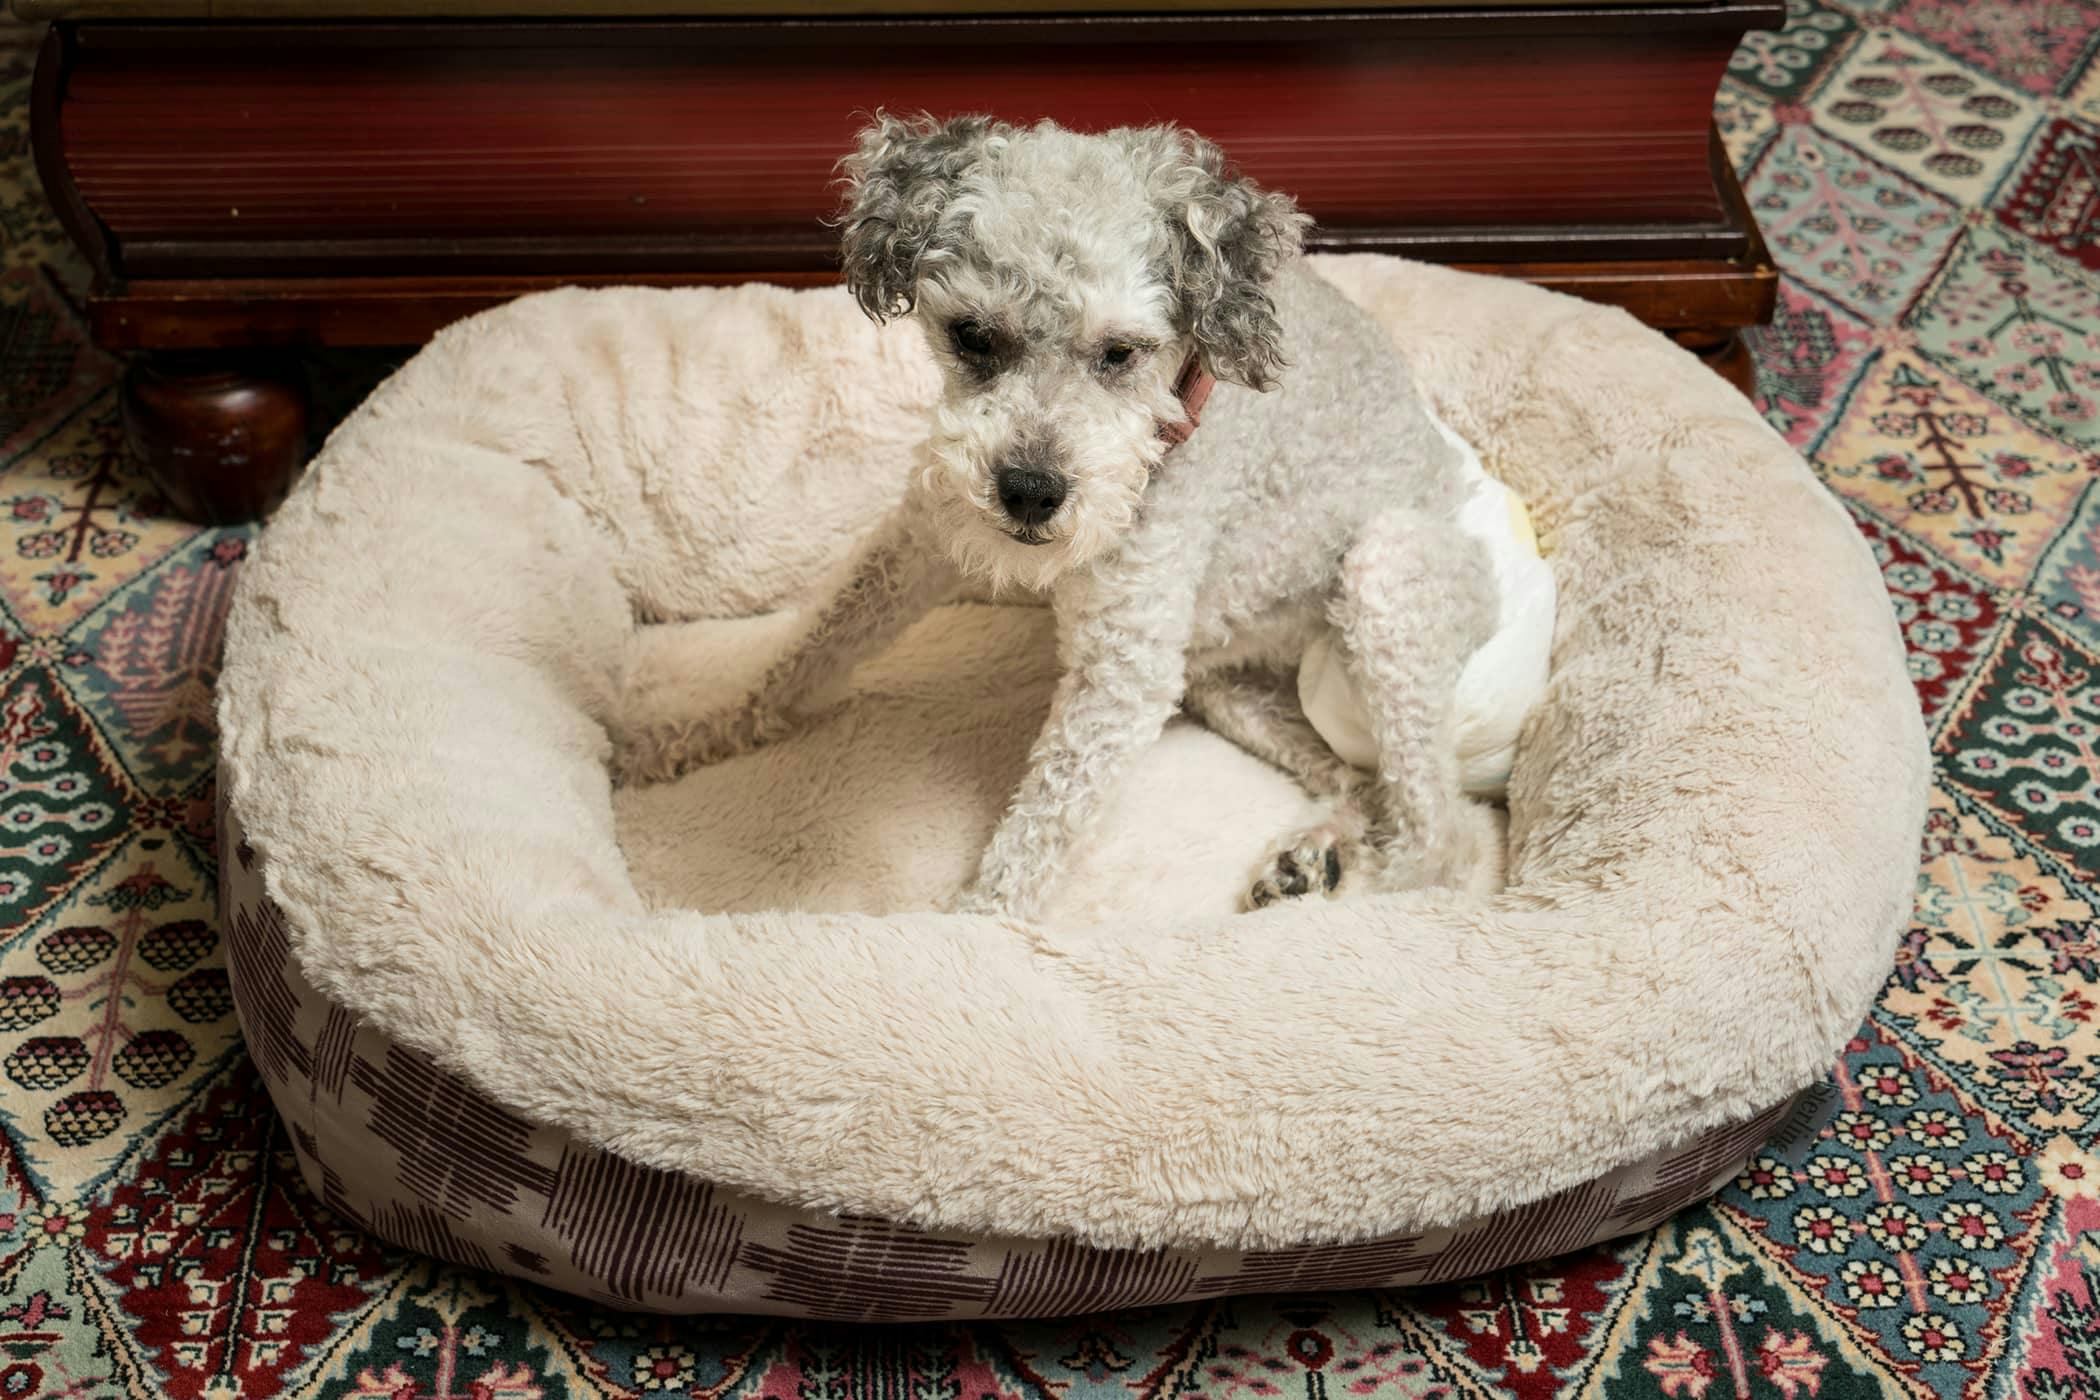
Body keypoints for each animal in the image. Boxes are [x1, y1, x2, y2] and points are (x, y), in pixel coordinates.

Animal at [613, 117, 1503, 919]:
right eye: (973, 335)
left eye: (1120, 352)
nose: (1031, 491)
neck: (1173, 419)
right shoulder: (924, 538)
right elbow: (804, 655)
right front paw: (678, 737)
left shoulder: (1124, 665)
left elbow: (1034, 836)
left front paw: (961, 940)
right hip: (1231, 688)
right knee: (1370, 785)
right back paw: (1315, 855)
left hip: (1388, 578)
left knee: (1446, 835)